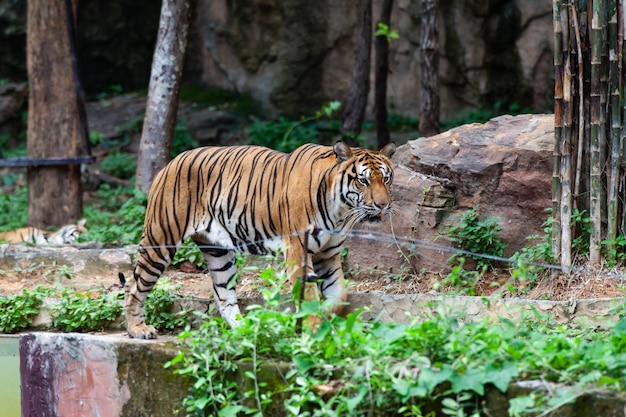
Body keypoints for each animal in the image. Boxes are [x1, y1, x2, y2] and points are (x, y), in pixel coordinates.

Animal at [122, 141, 394, 338]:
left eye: (386, 178)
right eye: (363, 180)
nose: (383, 205)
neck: (340, 211)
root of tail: (170, 162)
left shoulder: (327, 254)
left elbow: (339, 294)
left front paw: (324, 320)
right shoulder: (297, 251)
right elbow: (309, 297)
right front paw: (314, 332)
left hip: (218, 252)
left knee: (224, 295)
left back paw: (246, 330)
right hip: (160, 238)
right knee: (135, 285)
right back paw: (138, 330)